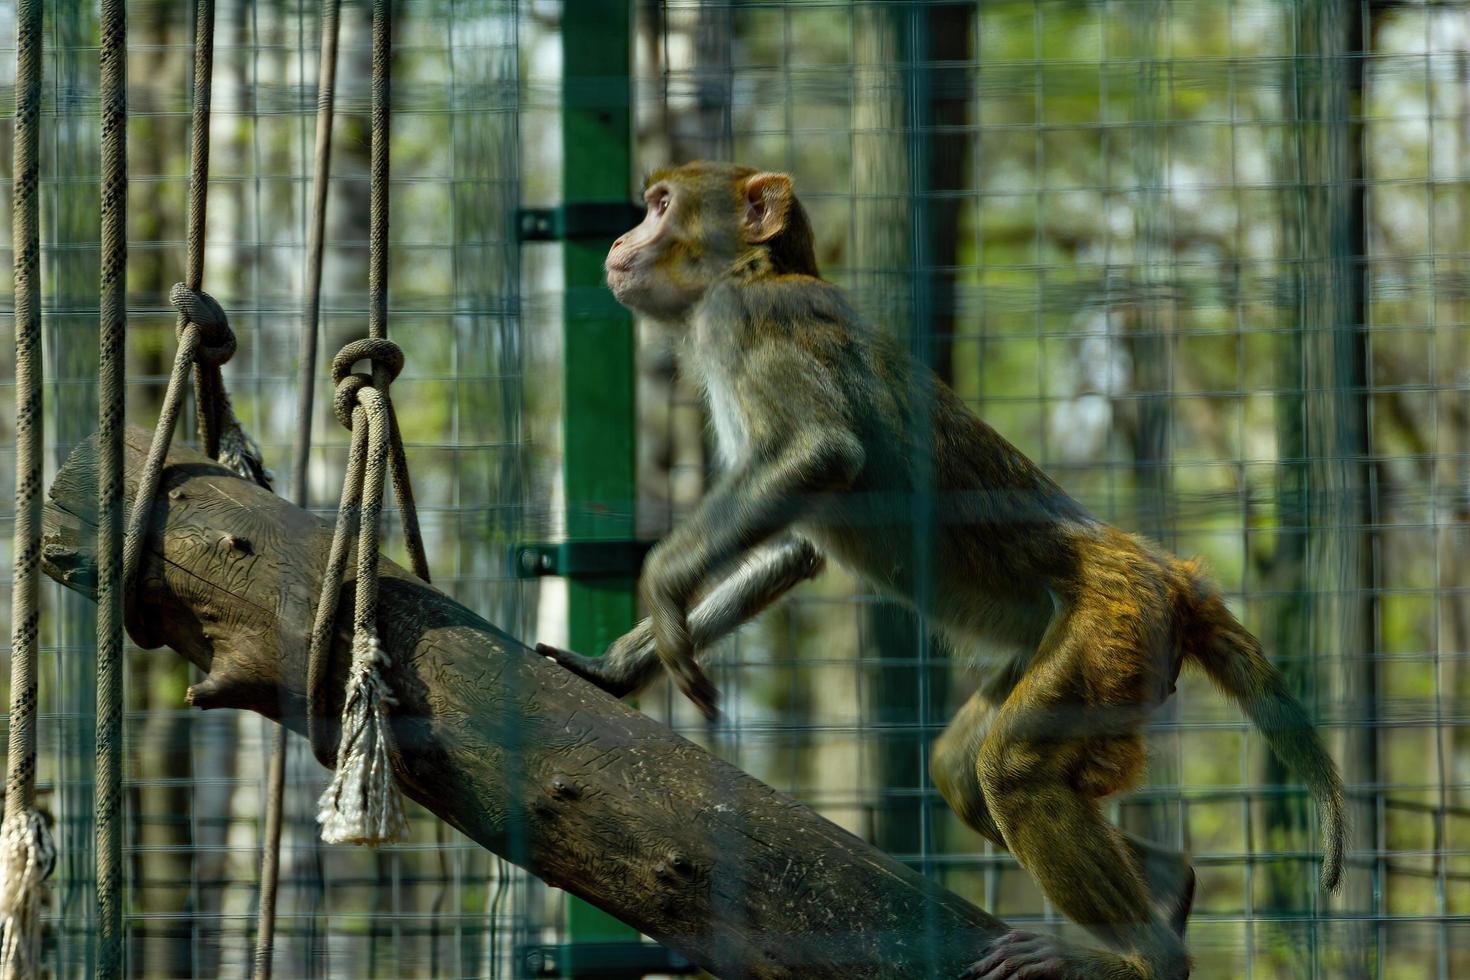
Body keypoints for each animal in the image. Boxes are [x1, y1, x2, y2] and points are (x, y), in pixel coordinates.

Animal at [540, 163, 1346, 980]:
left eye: (660, 206)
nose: (621, 238)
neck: (752, 272)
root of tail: (1160, 568)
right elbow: (797, 550)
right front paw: (614, 667)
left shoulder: (752, 320)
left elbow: (823, 455)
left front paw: (663, 588)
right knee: (964, 770)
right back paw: (1169, 883)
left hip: (1113, 623)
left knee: (1013, 772)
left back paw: (1140, 959)